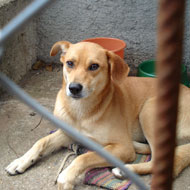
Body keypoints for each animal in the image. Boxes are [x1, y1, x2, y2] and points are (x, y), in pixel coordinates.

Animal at [5, 41, 190, 190]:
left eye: (94, 66)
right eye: (70, 63)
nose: (74, 88)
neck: (81, 111)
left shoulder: (122, 148)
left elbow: (84, 158)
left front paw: (66, 177)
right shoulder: (68, 132)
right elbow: (41, 142)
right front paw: (20, 161)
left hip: (149, 108)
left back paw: (126, 170)